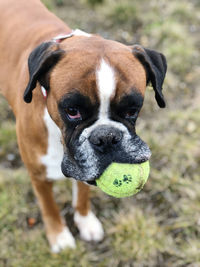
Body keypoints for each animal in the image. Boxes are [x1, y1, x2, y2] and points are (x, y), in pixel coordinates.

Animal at [0, 0, 167, 253]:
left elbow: (82, 193)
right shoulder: (39, 175)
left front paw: (85, 220)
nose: (106, 137)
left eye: (132, 110)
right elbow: (50, 207)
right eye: (72, 111)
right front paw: (59, 236)